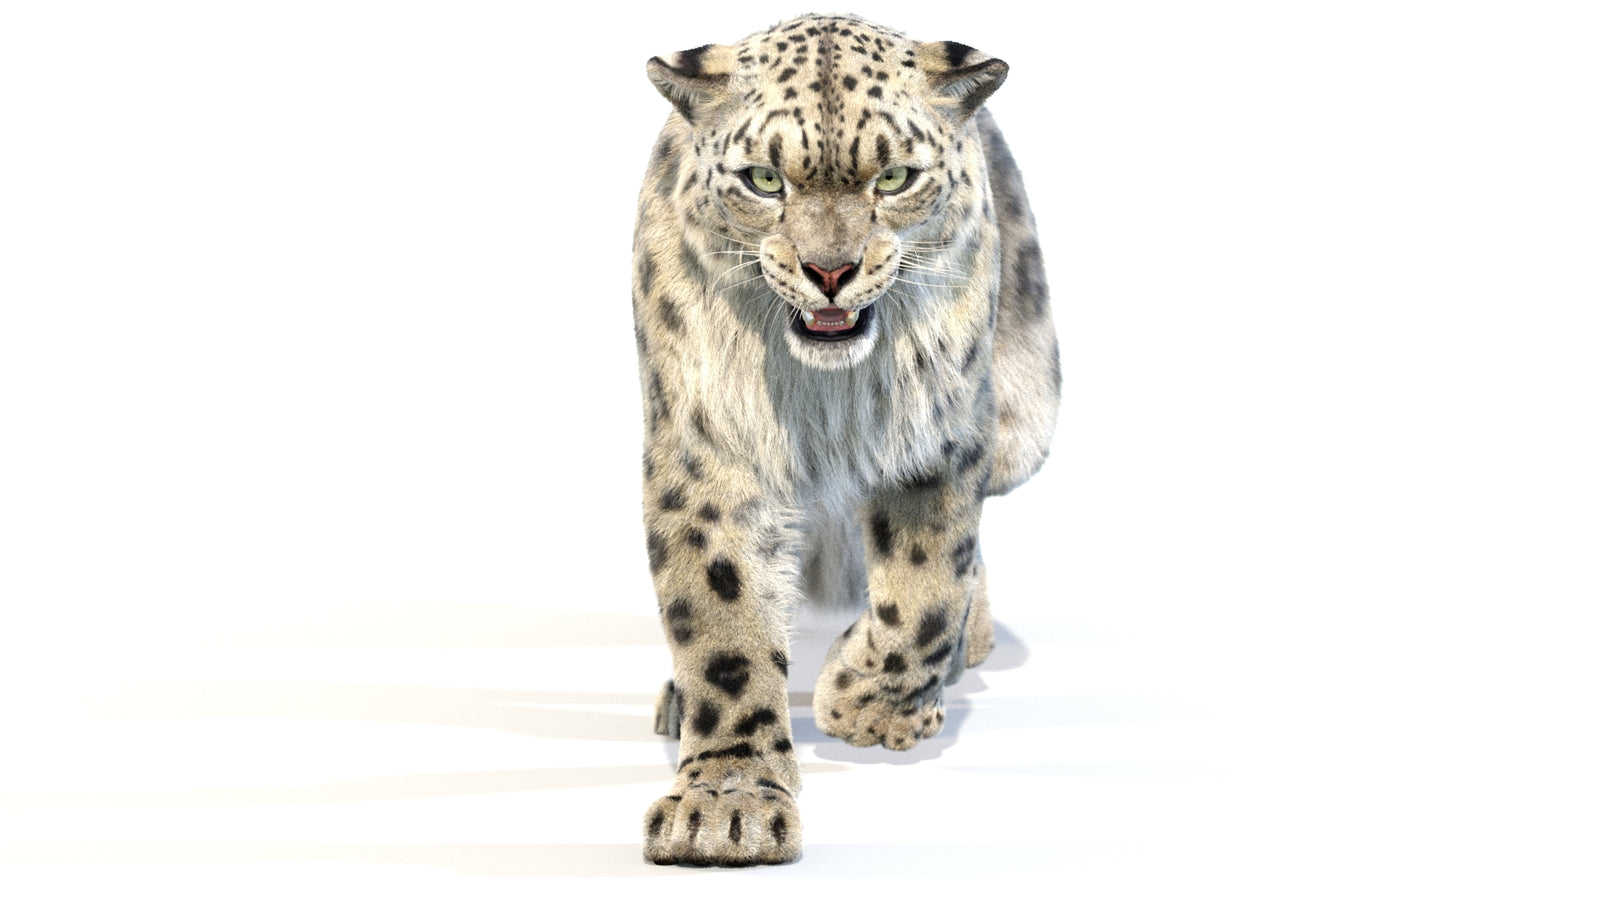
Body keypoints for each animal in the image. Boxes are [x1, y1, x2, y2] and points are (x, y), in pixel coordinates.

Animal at [631, 13, 1059, 865]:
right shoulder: (708, 452)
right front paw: (724, 807)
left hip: (1027, 420)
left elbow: (927, 590)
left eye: (892, 178)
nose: (830, 270)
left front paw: (864, 706)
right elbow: (723, 627)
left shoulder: (939, 435)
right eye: (765, 180)